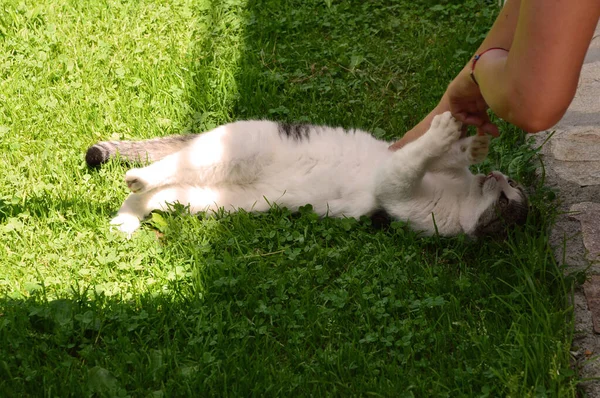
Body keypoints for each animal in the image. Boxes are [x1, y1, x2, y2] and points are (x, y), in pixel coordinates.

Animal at [86, 110, 528, 238]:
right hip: (230, 153)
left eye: (510, 196)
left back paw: (127, 216)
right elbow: (437, 155)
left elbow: (411, 164)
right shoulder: (414, 164)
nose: (500, 176)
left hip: (201, 198)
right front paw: (469, 143)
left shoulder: (400, 192)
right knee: (167, 164)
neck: (463, 195)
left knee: (155, 188)